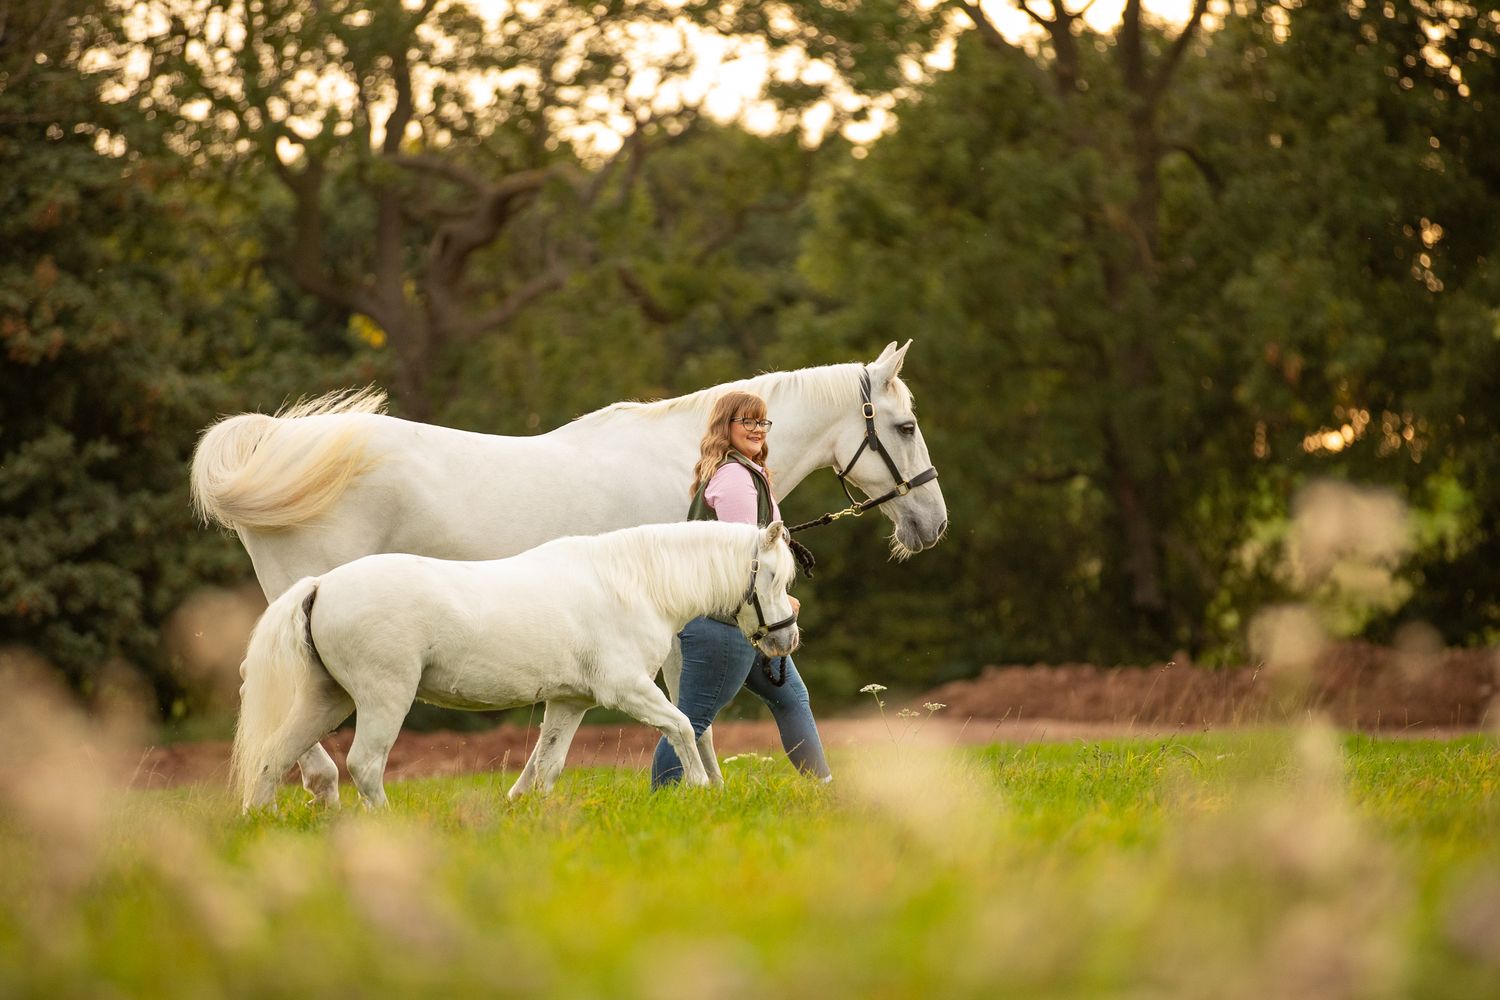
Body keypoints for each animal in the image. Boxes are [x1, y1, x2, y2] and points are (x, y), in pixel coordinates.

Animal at [232, 521, 801, 810]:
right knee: (364, 766)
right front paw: (700, 789)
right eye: (774, 576)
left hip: (327, 699)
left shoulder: (570, 702)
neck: (633, 583)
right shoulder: (627, 689)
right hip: (383, 698)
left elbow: (546, 766)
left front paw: (523, 808)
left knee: (273, 758)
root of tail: (319, 586)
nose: (787, 637)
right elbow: (682, 725)